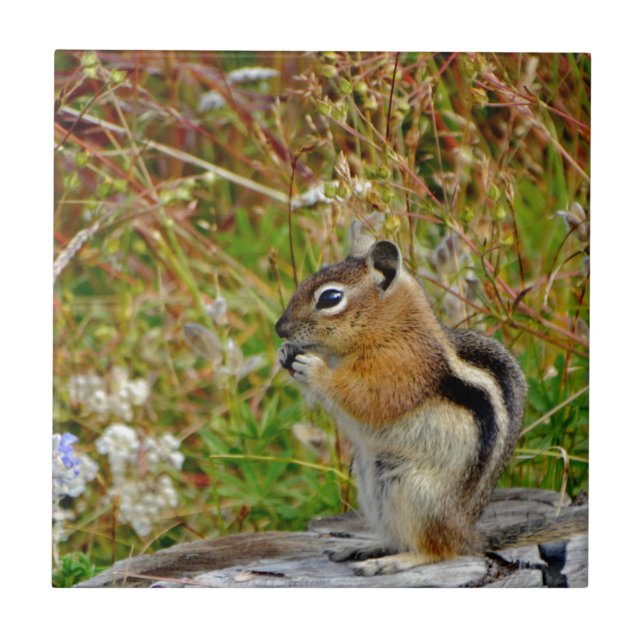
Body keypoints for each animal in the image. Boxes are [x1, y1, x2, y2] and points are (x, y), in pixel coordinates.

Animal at [275, 229, 587, 576]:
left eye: (330, 298)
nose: (279, 328)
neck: (391, 327)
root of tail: (464, 533)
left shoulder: (400, 368)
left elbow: (363, 397)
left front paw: (313, 368)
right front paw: (285, 354)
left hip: (412, 490)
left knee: (436, 551)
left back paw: (393, 561)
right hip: (373, 488)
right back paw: (366, 547)